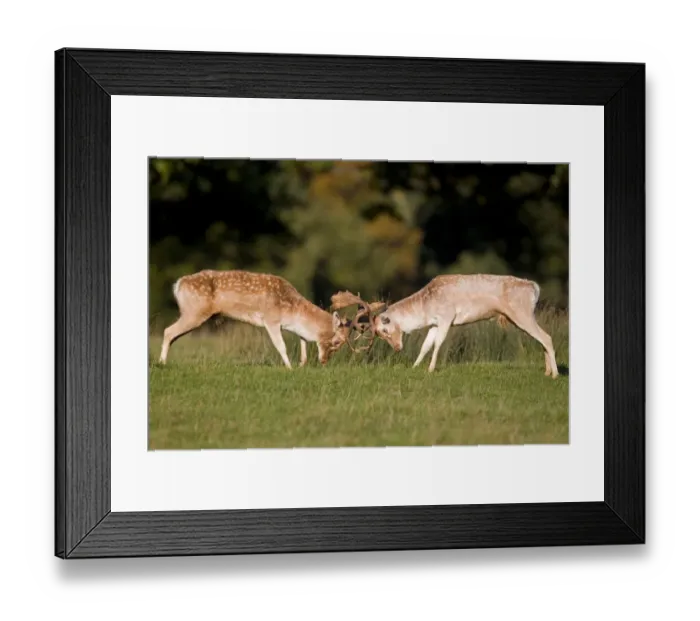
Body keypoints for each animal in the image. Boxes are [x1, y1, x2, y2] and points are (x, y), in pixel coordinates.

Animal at [158, 270, 356, 368]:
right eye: (337, 341)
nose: (324, 361)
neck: (292, 311)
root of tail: (178, 285)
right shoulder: (271, 319)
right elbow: (281, 346)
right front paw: (289, 368)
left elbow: (303, 340)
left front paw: (301, 364)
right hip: (195, 312)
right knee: (168, 331)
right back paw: (161, 363)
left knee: (172, 335)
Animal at [333, 275, 558, 377]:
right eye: (380, 334)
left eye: (385, 330)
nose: (397, 348)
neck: (426, 307)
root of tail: (535, 288)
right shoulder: (434, 323)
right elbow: (426, 345)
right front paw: (415, 366)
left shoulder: (447, 317)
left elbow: (438, 343)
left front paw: (431, 369)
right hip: (521, 316)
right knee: (542, 339)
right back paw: (547, 372)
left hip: (521, 313)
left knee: (547, 337)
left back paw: (555, 374)